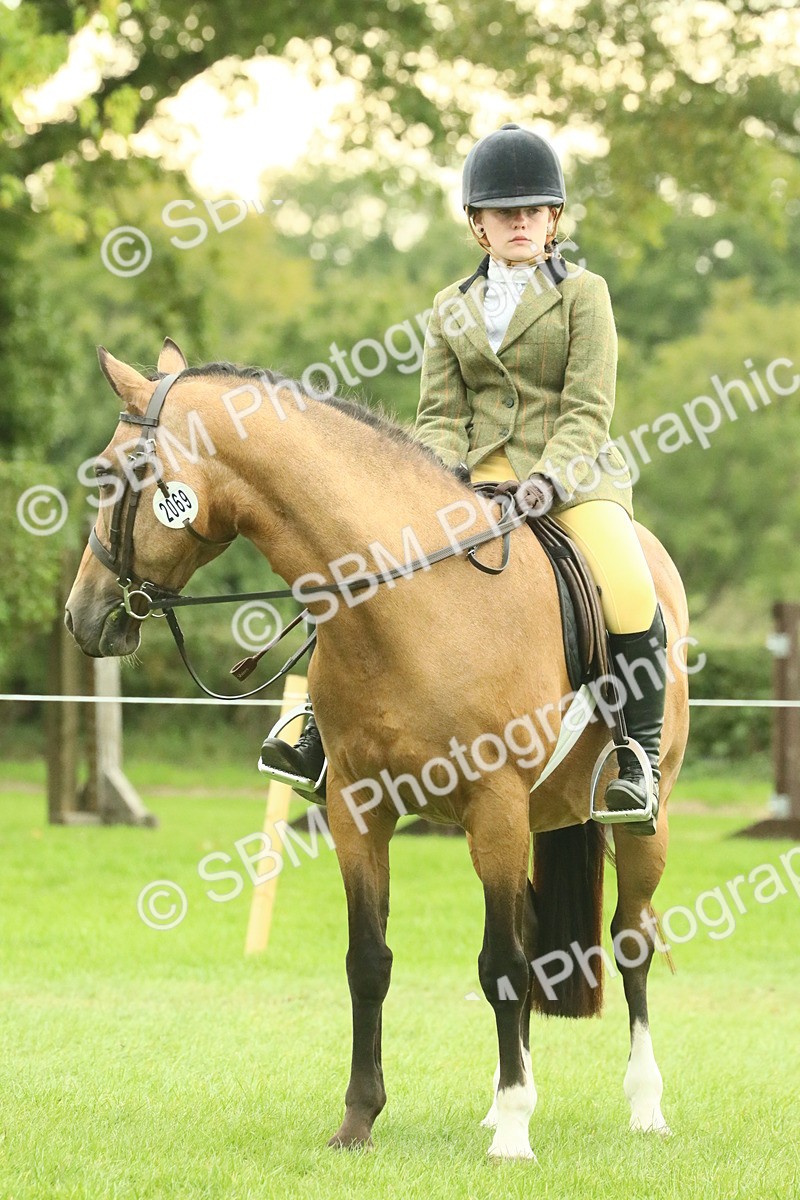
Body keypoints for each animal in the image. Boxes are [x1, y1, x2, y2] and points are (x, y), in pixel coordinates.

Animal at [65, 337, 690, 1161]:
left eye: (111, 474)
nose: (82, 617)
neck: (408, 602)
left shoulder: (493, 807)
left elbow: (501, 966)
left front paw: (513, 1135)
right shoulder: (358, 809)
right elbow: (370, 962)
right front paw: (359, 1121)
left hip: (642, 823)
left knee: (630, 941)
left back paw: (643, 1105)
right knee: (539, 940)